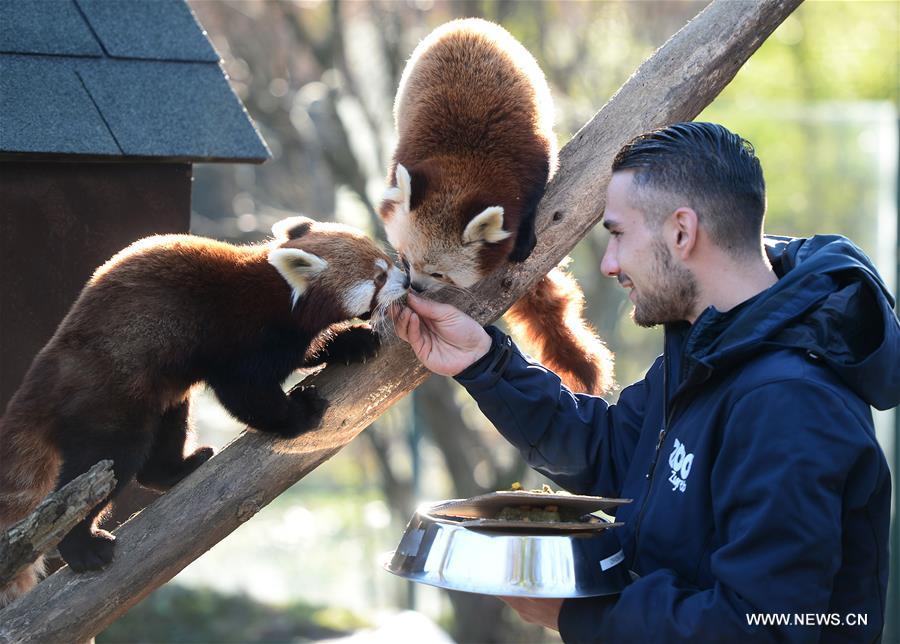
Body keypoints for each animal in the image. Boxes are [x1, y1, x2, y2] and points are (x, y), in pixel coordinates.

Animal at [0, 219, 408, 608]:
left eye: (386, 261)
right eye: (378, 277)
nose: (405, 278)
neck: (280, 293)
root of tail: (41, 380)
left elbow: (309, 349)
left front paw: (352, 341)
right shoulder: (242, 332)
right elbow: (245, 392)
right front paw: (299, 414)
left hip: (162, 393)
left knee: (166, 429)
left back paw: (176, 468)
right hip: (107, 396)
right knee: (109, 459)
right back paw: (82, 547)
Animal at [376, 18, 616, 392]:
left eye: (439, 273)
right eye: (405, 258)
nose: (415, 286)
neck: (463, 166)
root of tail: (466, 24)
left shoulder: (528, 157)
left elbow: (534, 194)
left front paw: (523, 238)